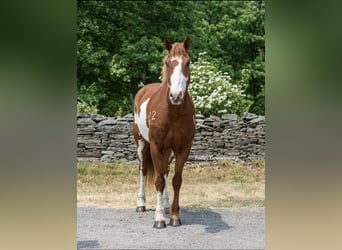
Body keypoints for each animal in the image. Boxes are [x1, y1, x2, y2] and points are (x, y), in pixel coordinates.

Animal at [132, 36, 195, 229]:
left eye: (188, 62)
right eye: (168, 63)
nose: (176, 96)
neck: (173, 112)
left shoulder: (183, 148)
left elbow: (176, 180)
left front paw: (174, 216)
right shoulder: (156, 146)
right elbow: (158, 180)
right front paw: (159, 219)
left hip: (168, 151)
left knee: (166, 171)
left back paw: (166, 205)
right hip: (141, 144)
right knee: (143, 170)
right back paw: (141, 204)